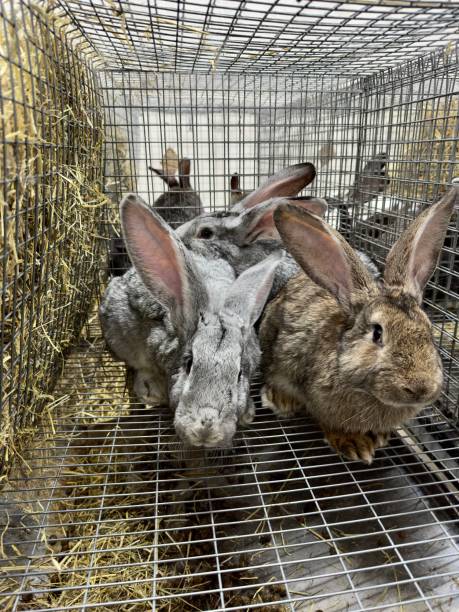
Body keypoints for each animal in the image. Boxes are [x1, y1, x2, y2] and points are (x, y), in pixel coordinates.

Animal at [260, 186, 458, 464]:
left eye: (429, 331)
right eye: (377, 333)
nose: (420, 387)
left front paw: (380, 435)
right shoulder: (321, 401)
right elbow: (330, 423)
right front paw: (354, 443)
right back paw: (280, 399)